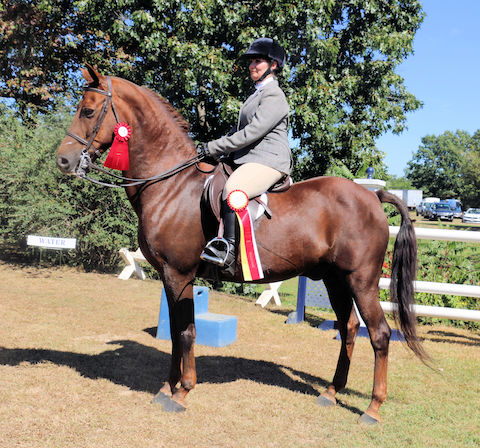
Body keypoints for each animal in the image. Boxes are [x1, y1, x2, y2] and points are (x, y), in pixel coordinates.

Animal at [55, 65, 428, 426]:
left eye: (88, 110)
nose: (63, 161)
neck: (171, 185)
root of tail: (371, 196)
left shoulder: (179, 274)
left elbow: (186, 332)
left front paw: (182, 392)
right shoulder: (169, 277)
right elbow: (175, 331)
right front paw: (166, 387)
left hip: (361, 281)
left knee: (379, 334)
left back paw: (372, 409)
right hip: (335, 279)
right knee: (349, 327)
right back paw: (331, 392)